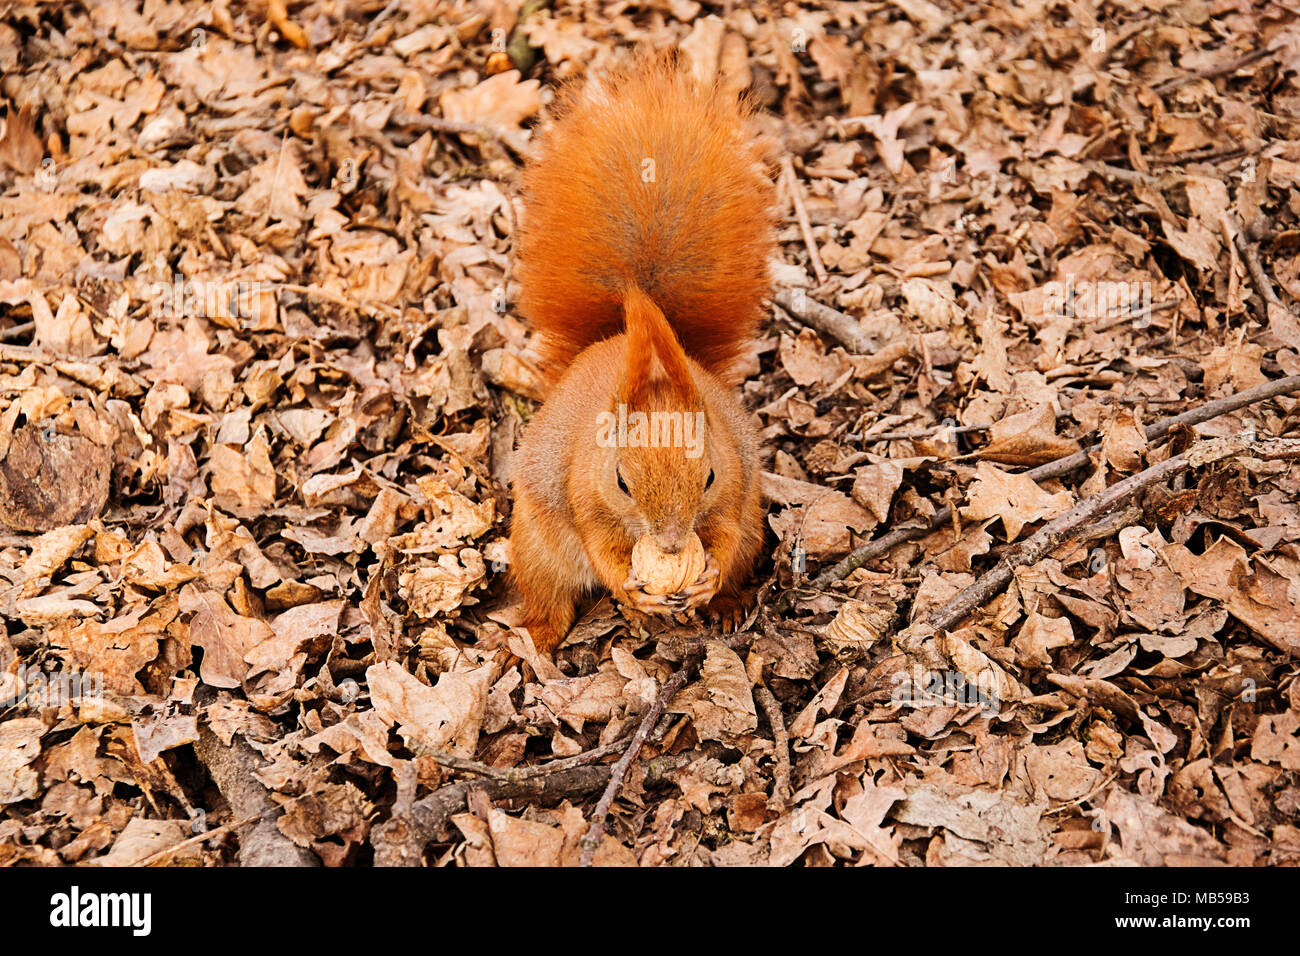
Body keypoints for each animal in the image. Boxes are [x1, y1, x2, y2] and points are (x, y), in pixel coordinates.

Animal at [508, 54, 776, 657]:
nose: (673, 545)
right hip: (536, 545)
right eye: (621, 481)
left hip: (755, 527)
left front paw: (709, 578)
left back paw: (725, 604)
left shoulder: (734, 489)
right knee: (548, 593)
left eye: (709, 474)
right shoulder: (584, 491)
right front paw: (634, 587)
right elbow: (600, 546)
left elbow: (723, 534)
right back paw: (540, 634)